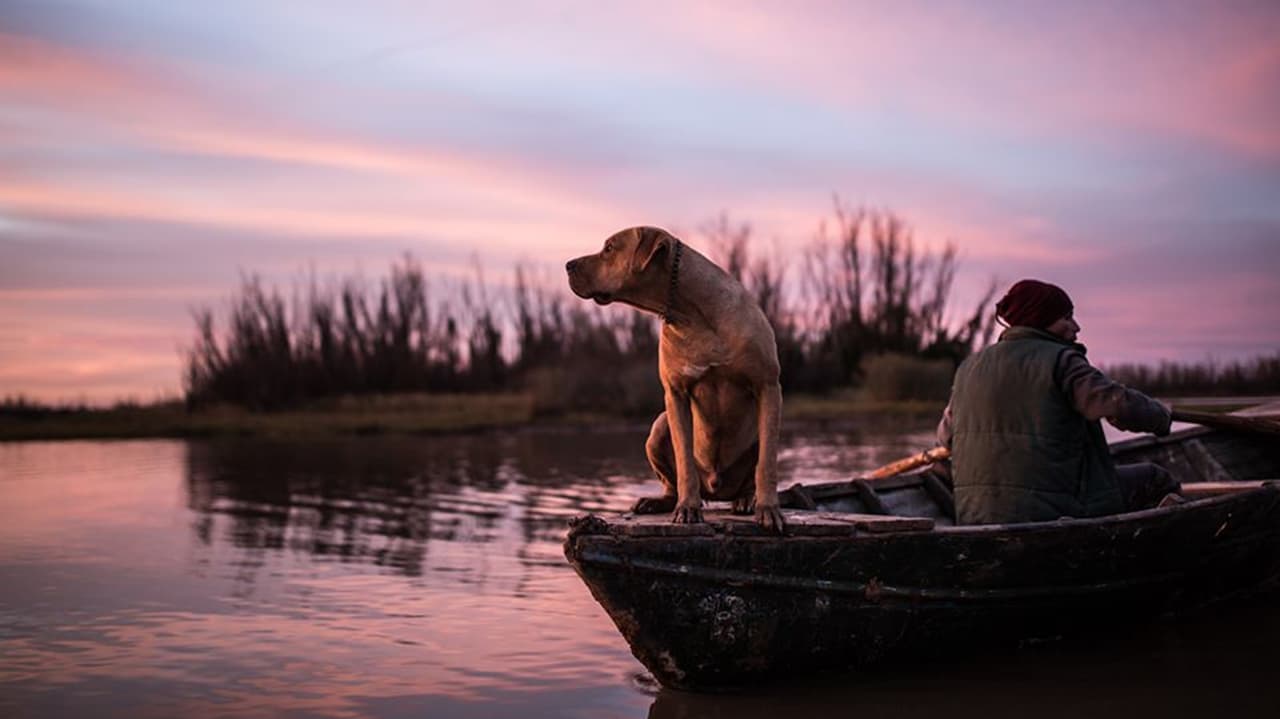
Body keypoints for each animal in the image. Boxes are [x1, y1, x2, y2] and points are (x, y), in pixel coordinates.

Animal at [568, 226, 783, 529]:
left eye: (609, 248)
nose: (568, 265)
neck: (691, 314)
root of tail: (716, 489)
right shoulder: (676, 394)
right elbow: (684, 462)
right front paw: (688, 507)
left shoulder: (767, 386)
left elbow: (767, 463)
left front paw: (768, 508)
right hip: (658, 427)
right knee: (671, 479)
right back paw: (658, 501)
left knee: (755, 467)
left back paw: (746, 499)